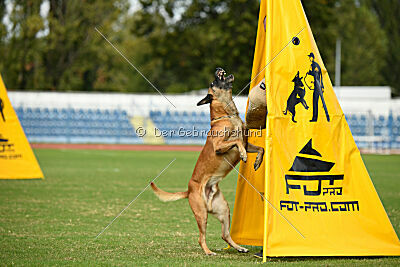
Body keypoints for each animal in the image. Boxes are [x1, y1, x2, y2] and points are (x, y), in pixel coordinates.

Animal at [152, 67, 264, 255]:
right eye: (213, 82)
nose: (218, 69)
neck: (227, 115)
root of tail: (188, 190)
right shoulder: (220, 146)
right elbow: (236, 141)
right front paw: (243, 155)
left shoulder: (248, 143)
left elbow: (259, 148)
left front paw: (257, 162)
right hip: (201, 213)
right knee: (201, 237)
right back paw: (208, 251)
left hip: (224, 209)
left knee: (225, 234)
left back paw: (239, 247)